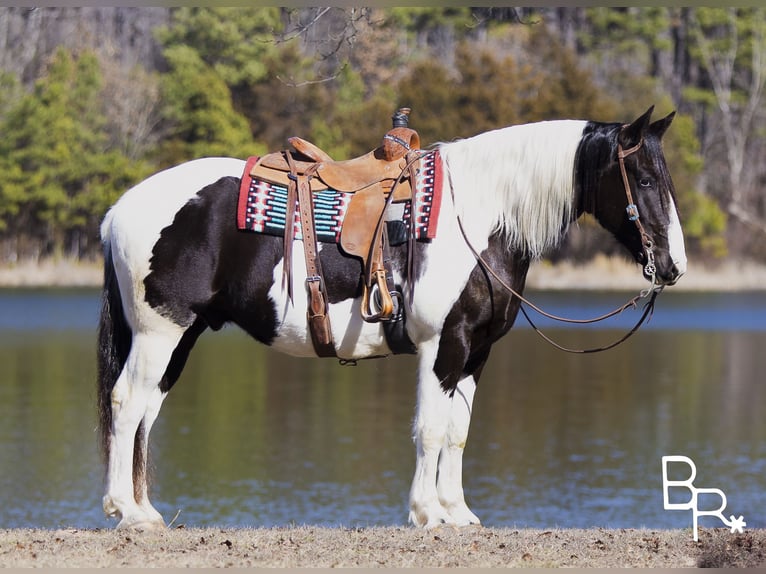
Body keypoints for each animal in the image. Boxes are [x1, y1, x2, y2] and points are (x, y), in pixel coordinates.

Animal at [97, 107, 688, 532]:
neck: (477, 215)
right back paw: (126, 511)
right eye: (644, 179)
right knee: (127, 403)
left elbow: (458, 433)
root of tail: (118, 210)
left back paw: (145, 511)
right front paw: (427, 512)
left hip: (181, 336)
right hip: (158, 332)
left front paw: (457, 512)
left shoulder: (476, 351)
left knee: (147, 411)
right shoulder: (442, 346)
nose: (673, 266)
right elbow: (430, 428)